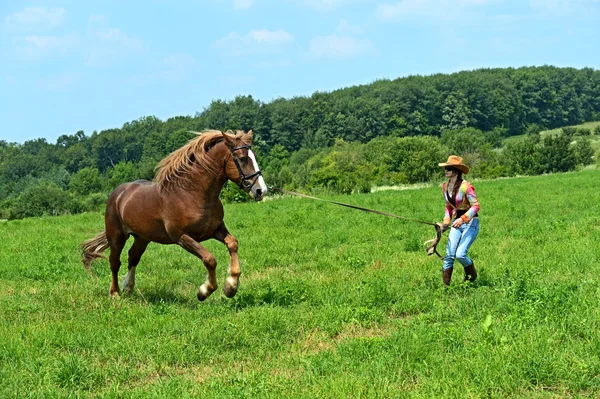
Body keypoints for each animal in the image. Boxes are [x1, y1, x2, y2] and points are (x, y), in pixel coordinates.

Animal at [79, 130, 268, 302]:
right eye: (242, 158)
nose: (261, 190)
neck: (193, 194)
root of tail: (118, 193)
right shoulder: (181, 237)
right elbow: (209, 259)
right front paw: (204, 291)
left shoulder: (216, 230)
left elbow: (233, 243)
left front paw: (230, 287)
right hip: (117, 236)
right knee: (114, 262)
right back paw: (115, 293)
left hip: (142, 237)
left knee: (133, 257)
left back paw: (129, 287)